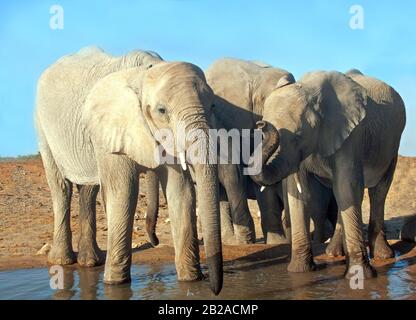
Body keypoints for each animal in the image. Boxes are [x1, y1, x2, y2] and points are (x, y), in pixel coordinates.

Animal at [35, 47, 223, 296]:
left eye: (213, 107)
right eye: (162, 110)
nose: (214, 289)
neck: (142, 74)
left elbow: (180, 192)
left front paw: (191, 281)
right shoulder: (111, 129)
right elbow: (123, 191)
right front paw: (115, 284)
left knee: (89, 190)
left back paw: (90, 262)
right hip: (42, 127)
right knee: (61, 187)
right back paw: (62, 261)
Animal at [250, 69, 406, 278]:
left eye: (299, 136)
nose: (262, 124)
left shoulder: (351, 135)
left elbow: (346, 187)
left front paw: (360, 276)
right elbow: (300, 194)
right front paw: (299, 272)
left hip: (391, 145)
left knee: (377, 192)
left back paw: (383, 255)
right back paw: (334, 253)